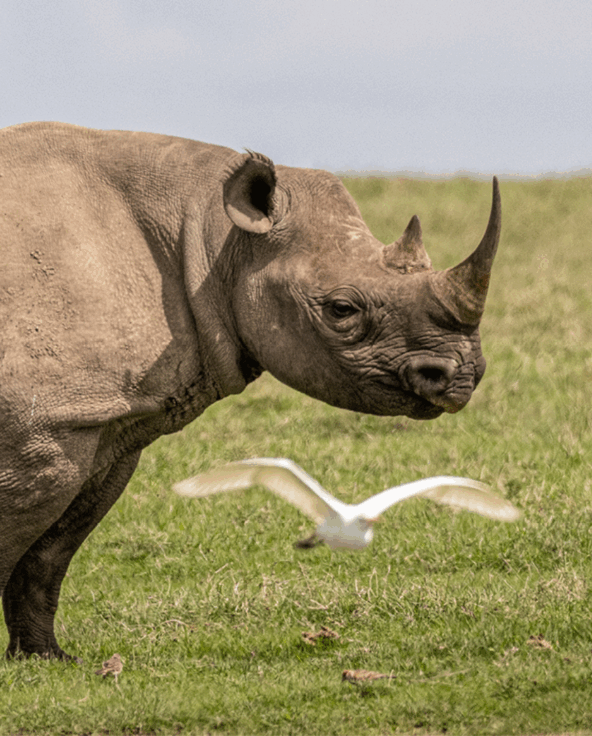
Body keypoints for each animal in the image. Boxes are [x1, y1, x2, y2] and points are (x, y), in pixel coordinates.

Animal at [0, 122, 501, 661]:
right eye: (341, 310)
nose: (462, 377)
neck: (212, 234)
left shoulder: (102, 418)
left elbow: (52, 551)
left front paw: (45, 658)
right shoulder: (43, 424)